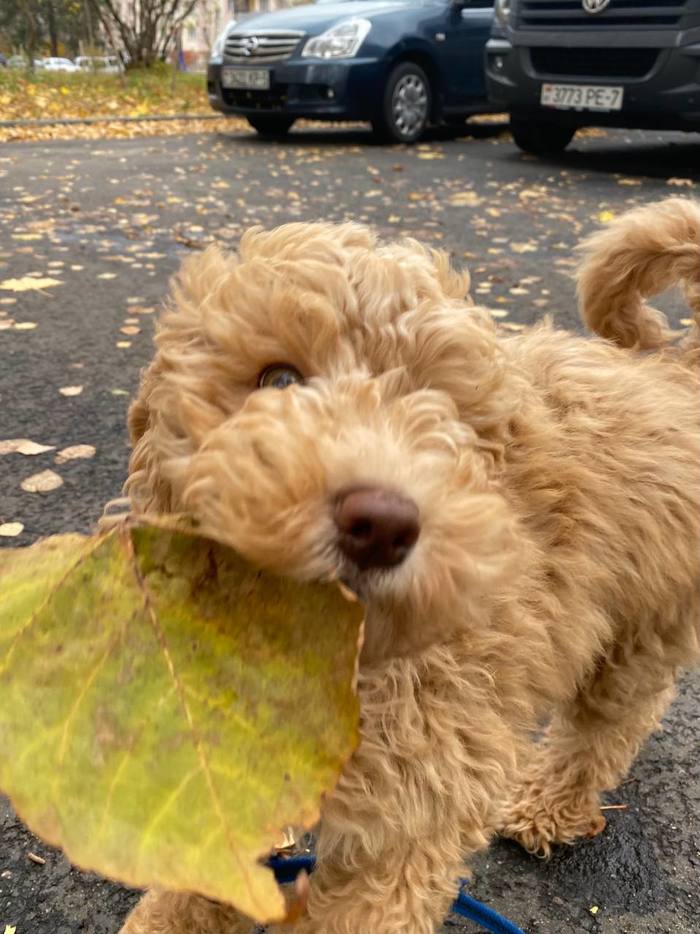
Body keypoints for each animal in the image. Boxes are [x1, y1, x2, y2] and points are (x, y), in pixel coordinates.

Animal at [120, 199, 700, 934]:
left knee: (607, 725)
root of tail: (677, 370)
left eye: (443, 412)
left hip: (645, 624)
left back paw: (547, 804)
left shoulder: (416, 802)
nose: (382, 524)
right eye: (278, 379)